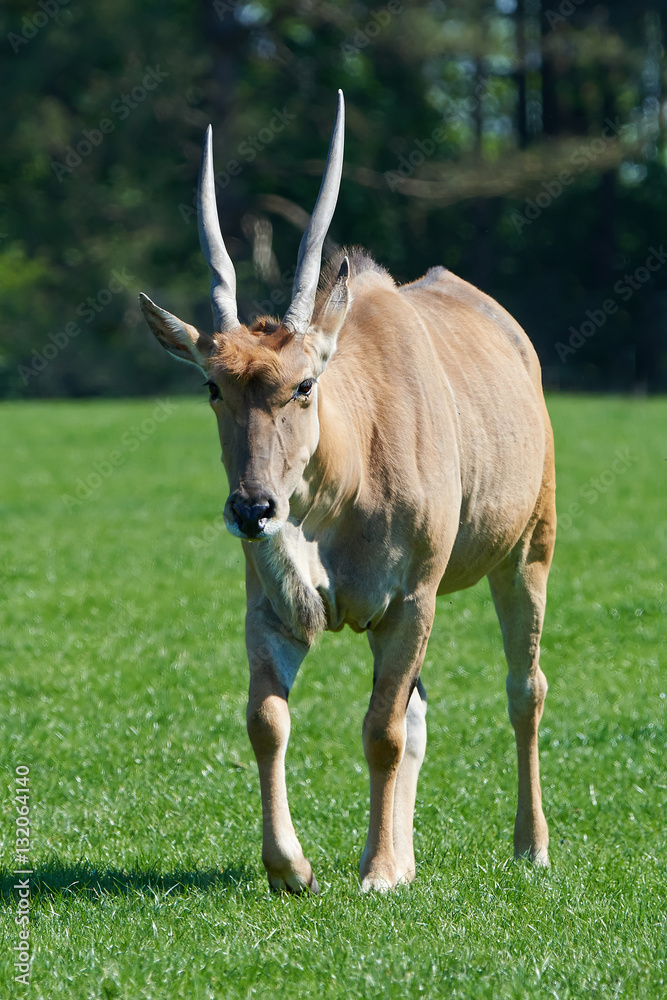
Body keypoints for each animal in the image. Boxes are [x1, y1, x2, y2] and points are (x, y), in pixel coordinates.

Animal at [141, 92, 560, 892]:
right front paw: (293, 868)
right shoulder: (272, 608)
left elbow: (382, 730)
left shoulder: (410, 602)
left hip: (527, 551)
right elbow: (268, 720)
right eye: (212, 386)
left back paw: (530, 847)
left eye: (304, 384)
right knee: (426, 711)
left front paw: (378, 871)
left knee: (524, 689)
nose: (253, 509)